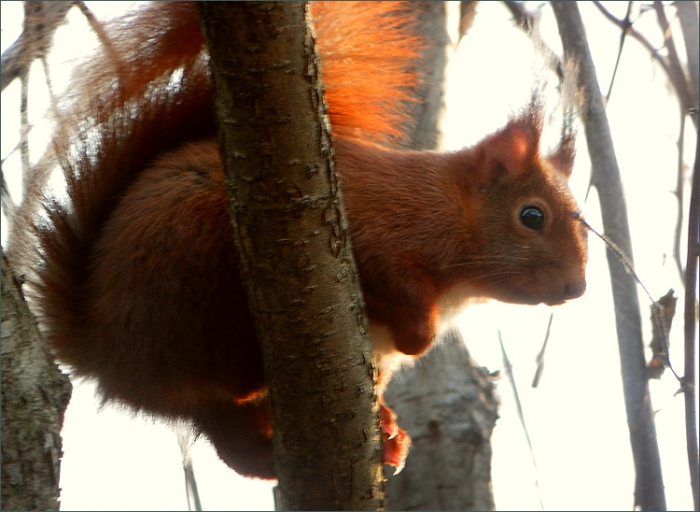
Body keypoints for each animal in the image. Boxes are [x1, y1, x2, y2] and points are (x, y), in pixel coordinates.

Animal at [31, 1, 588, 479]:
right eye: (532, 216)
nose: (577, 288)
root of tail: (100, 348)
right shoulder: (379, 230)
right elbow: (401, 295)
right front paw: (415, 334)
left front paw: (390, 428)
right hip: (191, 265)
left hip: (201, 390)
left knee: (235, 447)